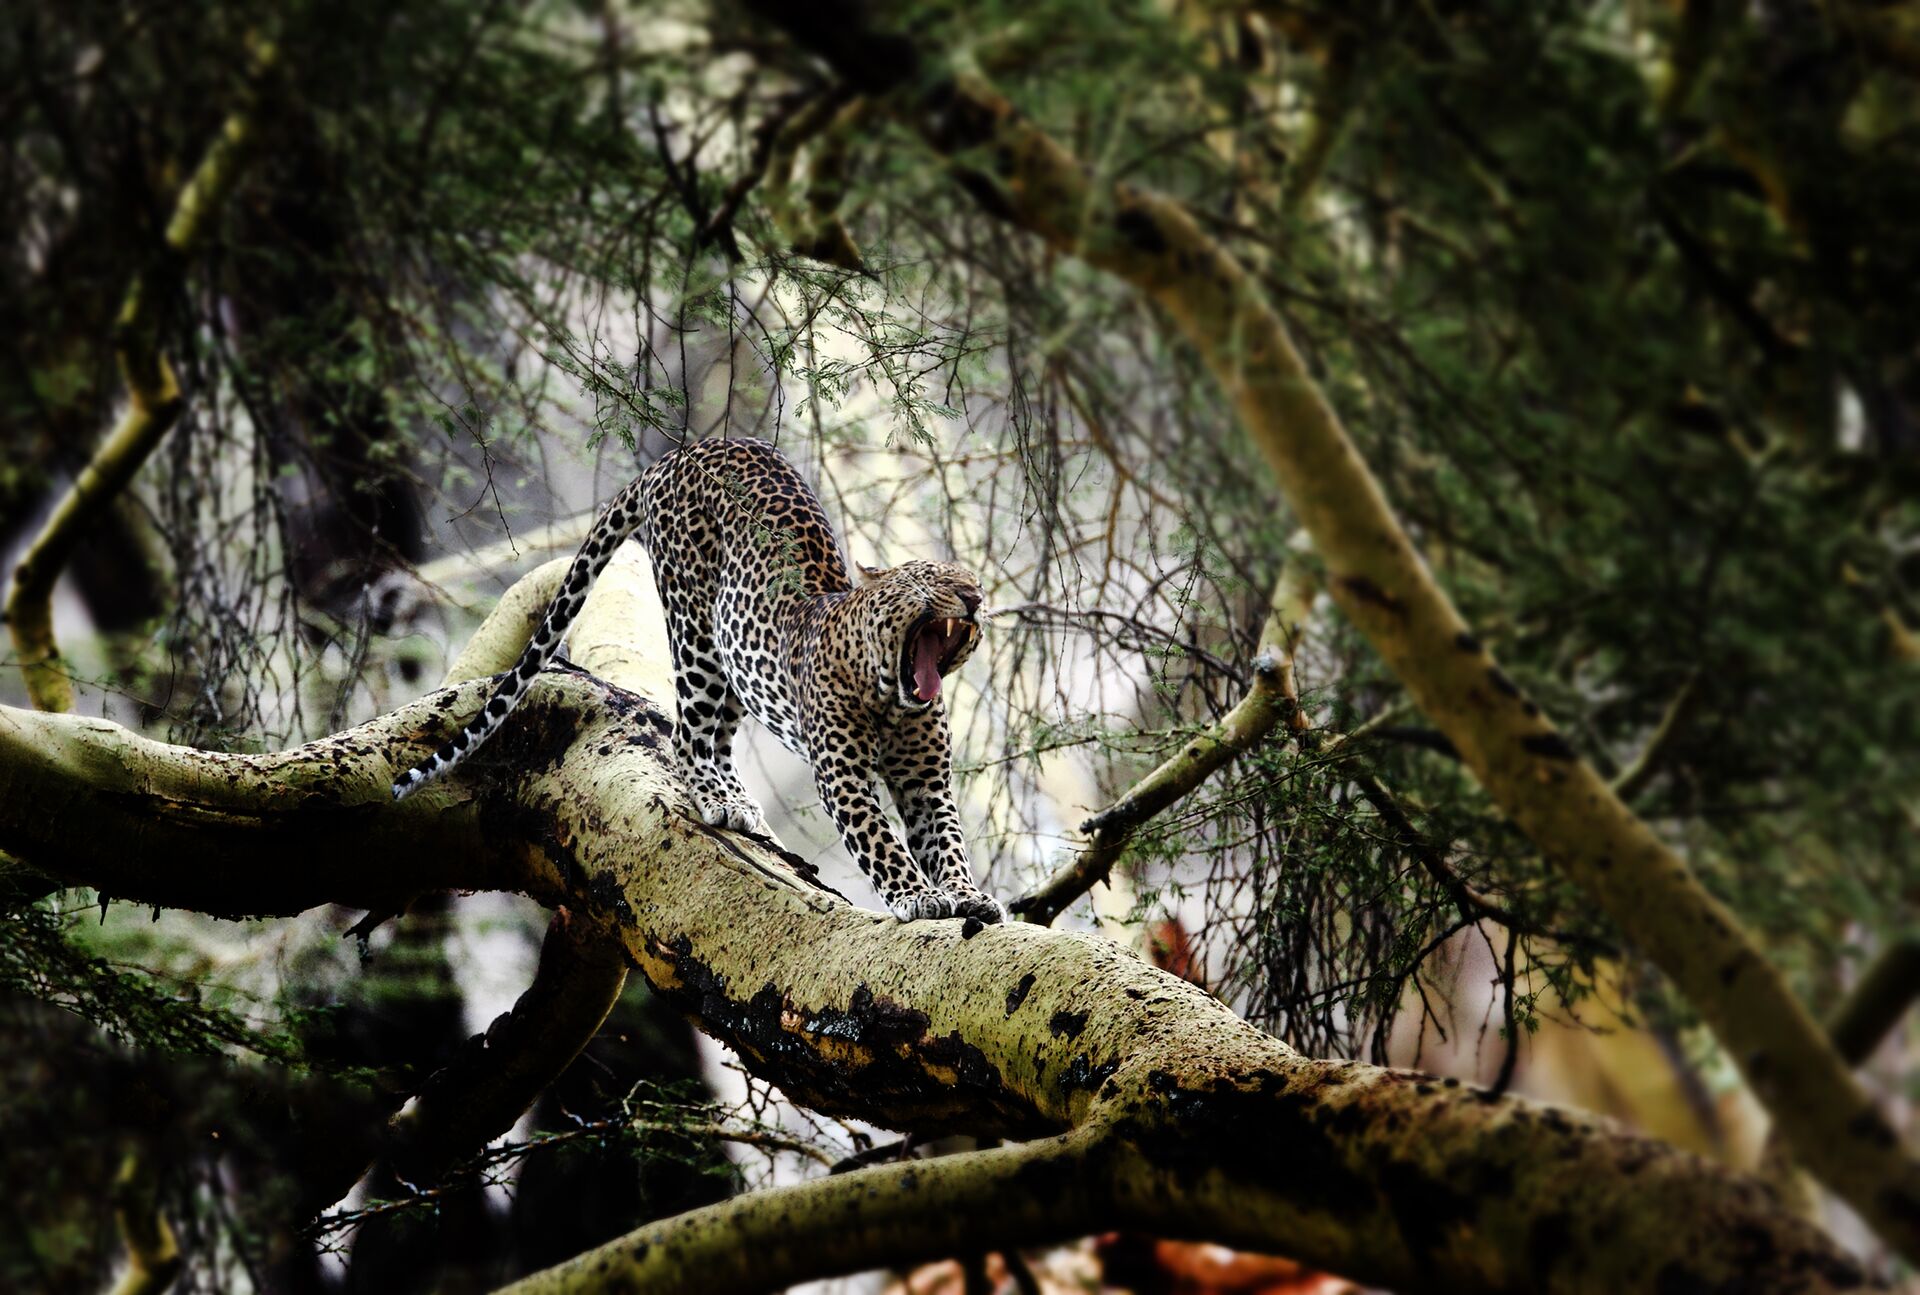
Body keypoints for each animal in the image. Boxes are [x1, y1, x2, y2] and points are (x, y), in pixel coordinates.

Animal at [392, 436, 1004, 923]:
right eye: (934, 576)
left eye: (974, 580)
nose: (973, 597)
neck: (892, 693)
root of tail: (682, 451)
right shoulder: (843, 775)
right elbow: (880, 838)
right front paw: (916, 896)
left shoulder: (926, 780)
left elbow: (947, 839)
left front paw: (967, 894)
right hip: (696, 633)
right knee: (687, 735)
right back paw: (715, 798)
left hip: (734, 662)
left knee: (718, 739)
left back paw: (737, 799)